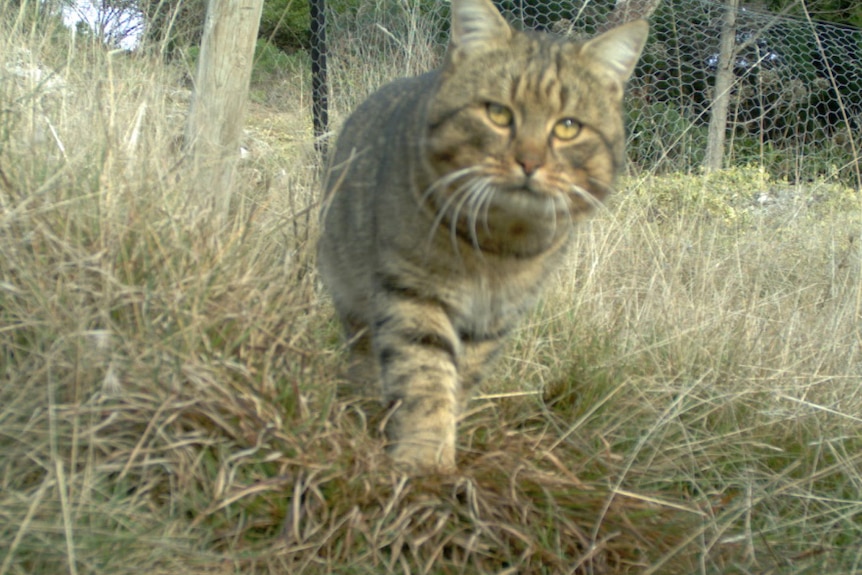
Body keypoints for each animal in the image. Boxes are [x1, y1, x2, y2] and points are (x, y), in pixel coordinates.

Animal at [318, 0, 648, 470]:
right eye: (498, 113)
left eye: (568, 126)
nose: (529, 162)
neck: (497, 245)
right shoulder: (414, 294)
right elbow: (425, 379)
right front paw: (425, 461)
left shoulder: (492, 320)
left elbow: (457, 382)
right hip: (351, 292)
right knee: (363, 354)